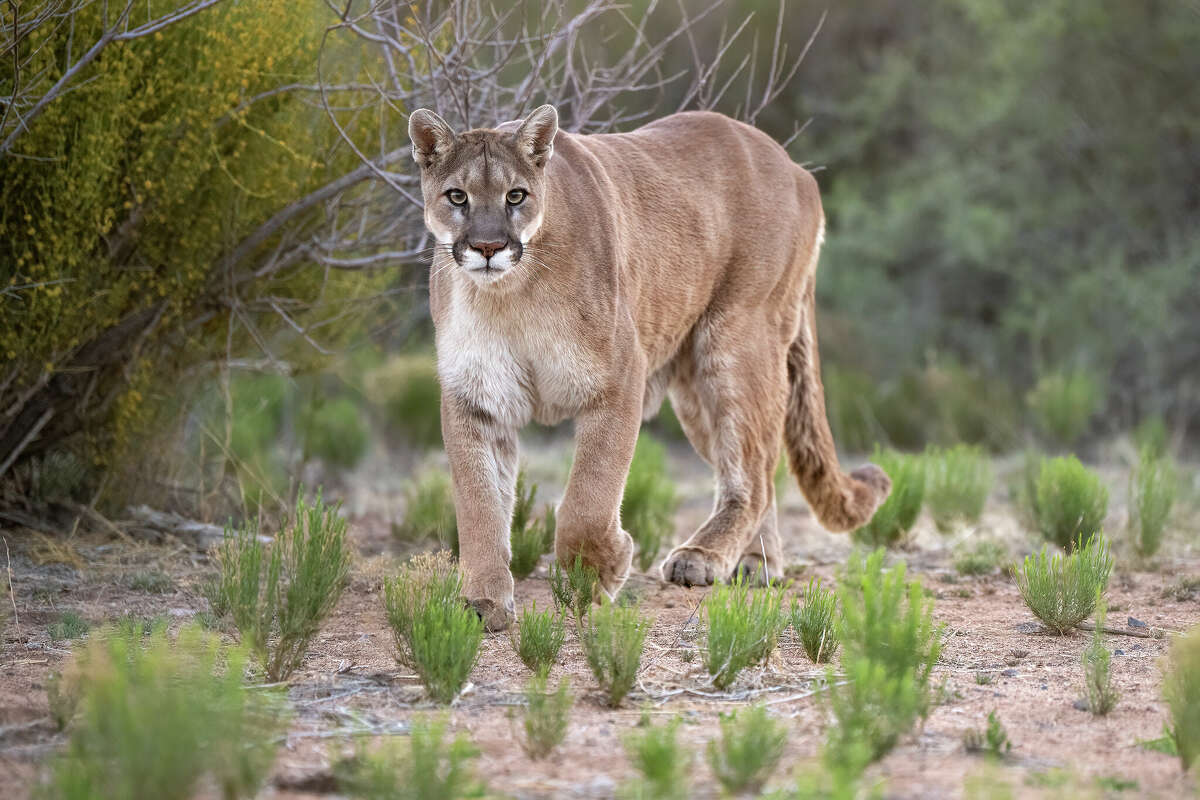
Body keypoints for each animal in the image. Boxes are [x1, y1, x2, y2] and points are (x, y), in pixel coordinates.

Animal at [412, 104, 892, 633]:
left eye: (515, 195)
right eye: (457, 196)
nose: (488, 247)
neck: (509, 295)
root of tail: (794, 167)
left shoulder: (620, 378)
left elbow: (588, 498)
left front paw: (600, 573)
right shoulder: (474, 398)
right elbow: (478, 504)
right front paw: (482, 602)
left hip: (737, 341)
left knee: (753, 472)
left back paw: (702, 557)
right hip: (696, 394)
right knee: (759, 467)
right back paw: (754, 564)